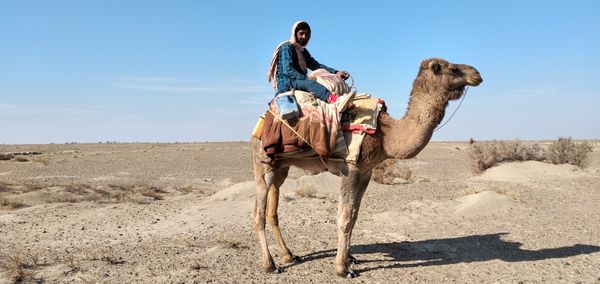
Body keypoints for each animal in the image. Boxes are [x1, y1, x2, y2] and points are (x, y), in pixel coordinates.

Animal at [250, 57, 482, 278]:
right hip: (262, 162)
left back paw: (289, 255)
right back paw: (270, 265)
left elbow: (354, 215)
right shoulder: (351, 169)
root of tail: (262, 120)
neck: (385, 134)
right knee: (258, 213)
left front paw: (350, 258)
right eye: (451, 68)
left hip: (281, 166)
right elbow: (344, 218)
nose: (477, 74)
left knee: (272, 209)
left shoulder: (366, 172)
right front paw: (342, 269)